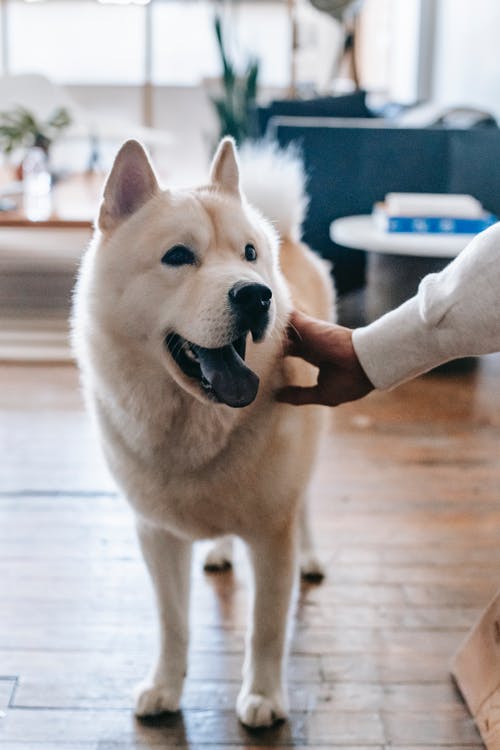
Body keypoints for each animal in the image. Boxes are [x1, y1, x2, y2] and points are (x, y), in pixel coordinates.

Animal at [70, 138, 334, 732]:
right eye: (177, 257)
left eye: (249, 253)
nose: (257, 296)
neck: (193, 424)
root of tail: (289, 234)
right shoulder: (155, 535)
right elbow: (174, 624)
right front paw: (165, 687)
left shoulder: (272, 536)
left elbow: (266, 629)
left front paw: (263, 696)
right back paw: (217, 549)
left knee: (308, 504)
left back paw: (311, 556)